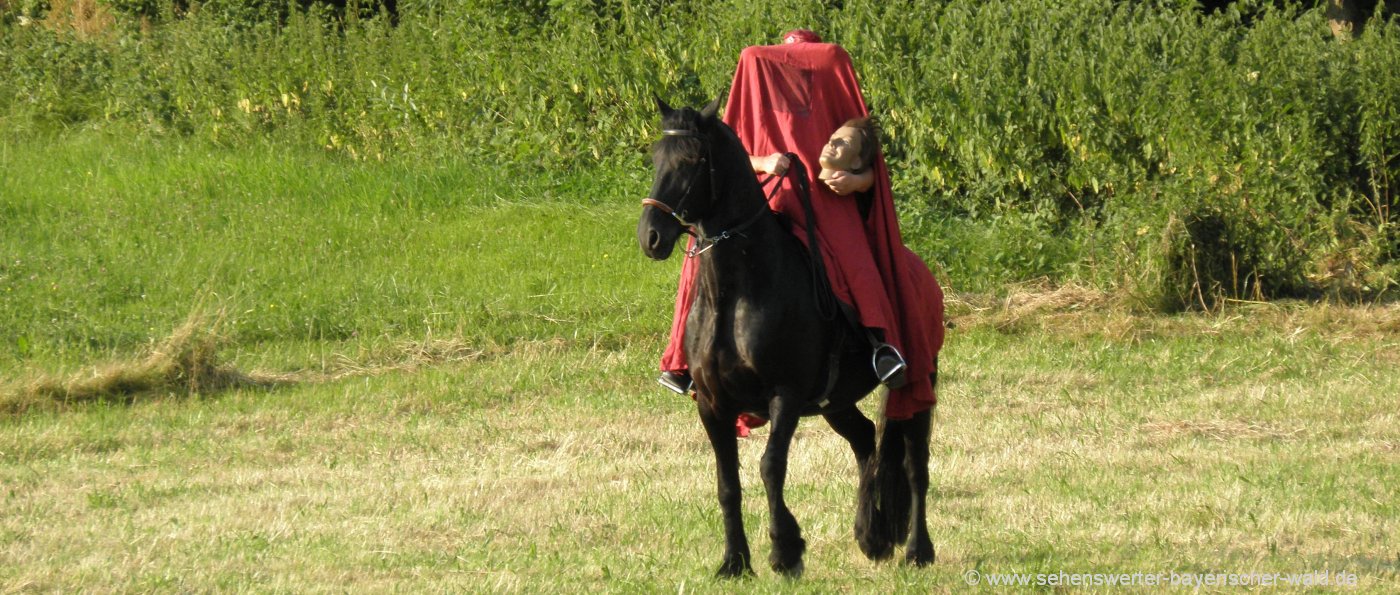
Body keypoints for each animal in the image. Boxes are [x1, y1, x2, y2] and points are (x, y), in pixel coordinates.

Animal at [641, 99, 935, 576]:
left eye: (693, 159)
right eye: (656, 157)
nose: (650, 236)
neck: (738, 293)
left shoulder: (786, 395)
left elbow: (770, 466)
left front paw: (786, 550)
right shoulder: (712, 404)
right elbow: (727, 483)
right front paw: (735, 561)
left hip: (917, 383)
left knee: (915, 466)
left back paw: (917, 550)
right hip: (837, 401)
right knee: (864, 441)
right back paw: (870, 536)